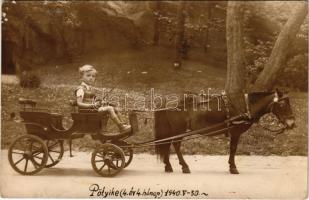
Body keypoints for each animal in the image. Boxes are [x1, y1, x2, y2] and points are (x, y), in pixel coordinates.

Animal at [154, 90, 294, 174]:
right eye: (282, 105)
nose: (292, 123)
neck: (244, 106)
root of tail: (167, 99)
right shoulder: (235, 132)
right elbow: (233, 148)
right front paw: (233, 167)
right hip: (179, 129)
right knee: (176, 145)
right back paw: (184, 166)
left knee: (167, 144)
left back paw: (168, 166)